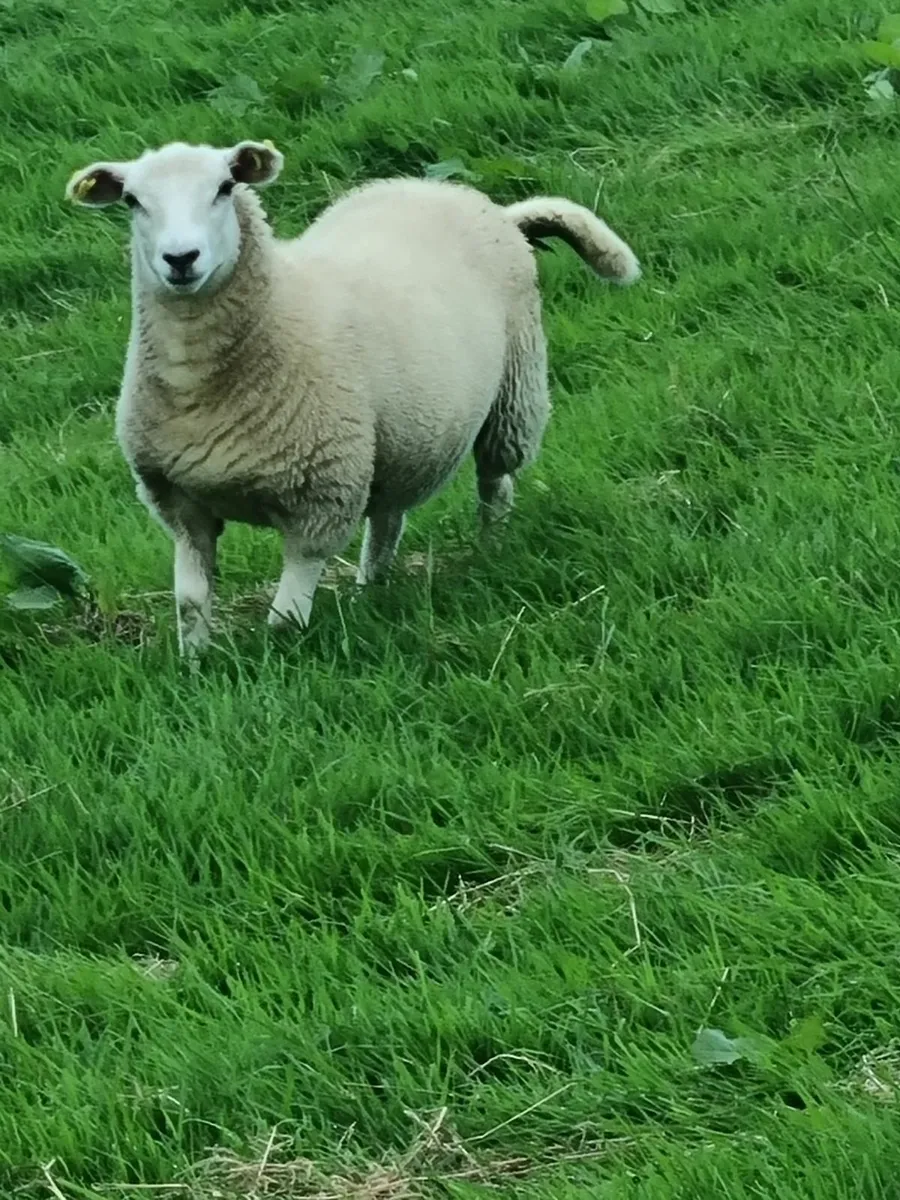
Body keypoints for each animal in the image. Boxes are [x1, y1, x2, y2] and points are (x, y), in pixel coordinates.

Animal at [66, 139, 640, 656]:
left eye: (225, 187)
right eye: (133, 201)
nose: (180, 259)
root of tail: (484, 206)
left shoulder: (320, 498)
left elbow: (284, 619)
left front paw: (277, 665)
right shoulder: (179, 501)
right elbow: (189, 603)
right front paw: (196, 664)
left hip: (512, 398)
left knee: (494, 485)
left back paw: (489, 551)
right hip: (399, 440)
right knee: (388, 517)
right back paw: (371, 590)